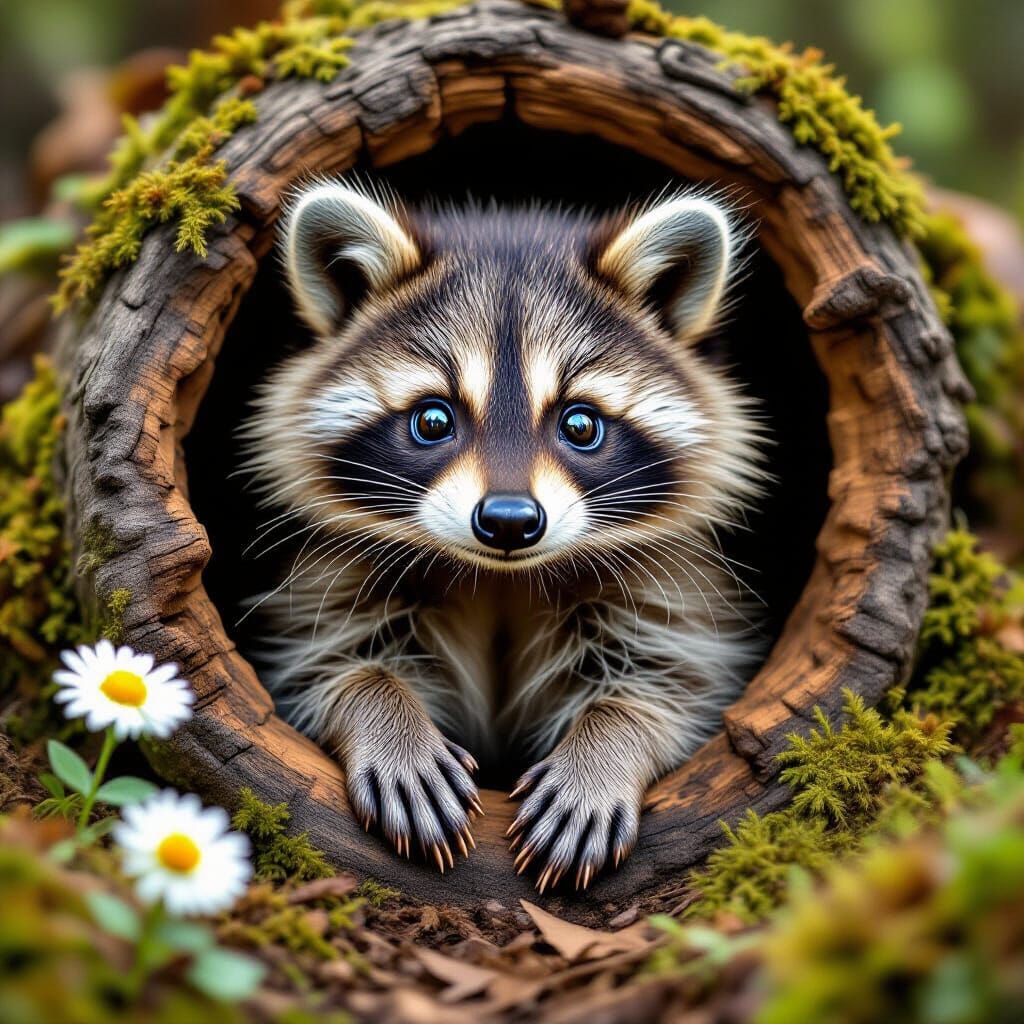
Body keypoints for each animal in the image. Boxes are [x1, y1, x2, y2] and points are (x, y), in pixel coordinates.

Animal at [241, 181, 765, 891]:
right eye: (434, 420)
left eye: (580, 425)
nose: (510, 521)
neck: (500, 576)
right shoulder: (329, 579)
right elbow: (328, 663)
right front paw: (384, 715)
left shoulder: (671, 589)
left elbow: (673, 685)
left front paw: (606, 748)